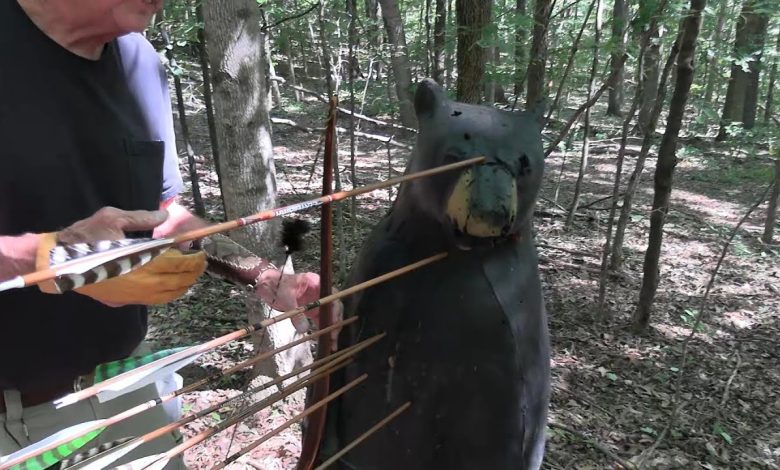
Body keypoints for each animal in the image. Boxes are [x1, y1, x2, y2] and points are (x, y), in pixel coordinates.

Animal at [316, 78, 551, 470]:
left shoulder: (508, 321)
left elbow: (506, 416)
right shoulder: (379, 267)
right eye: (453, 157)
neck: (450, 254)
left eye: (524, 165)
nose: (490, 212)